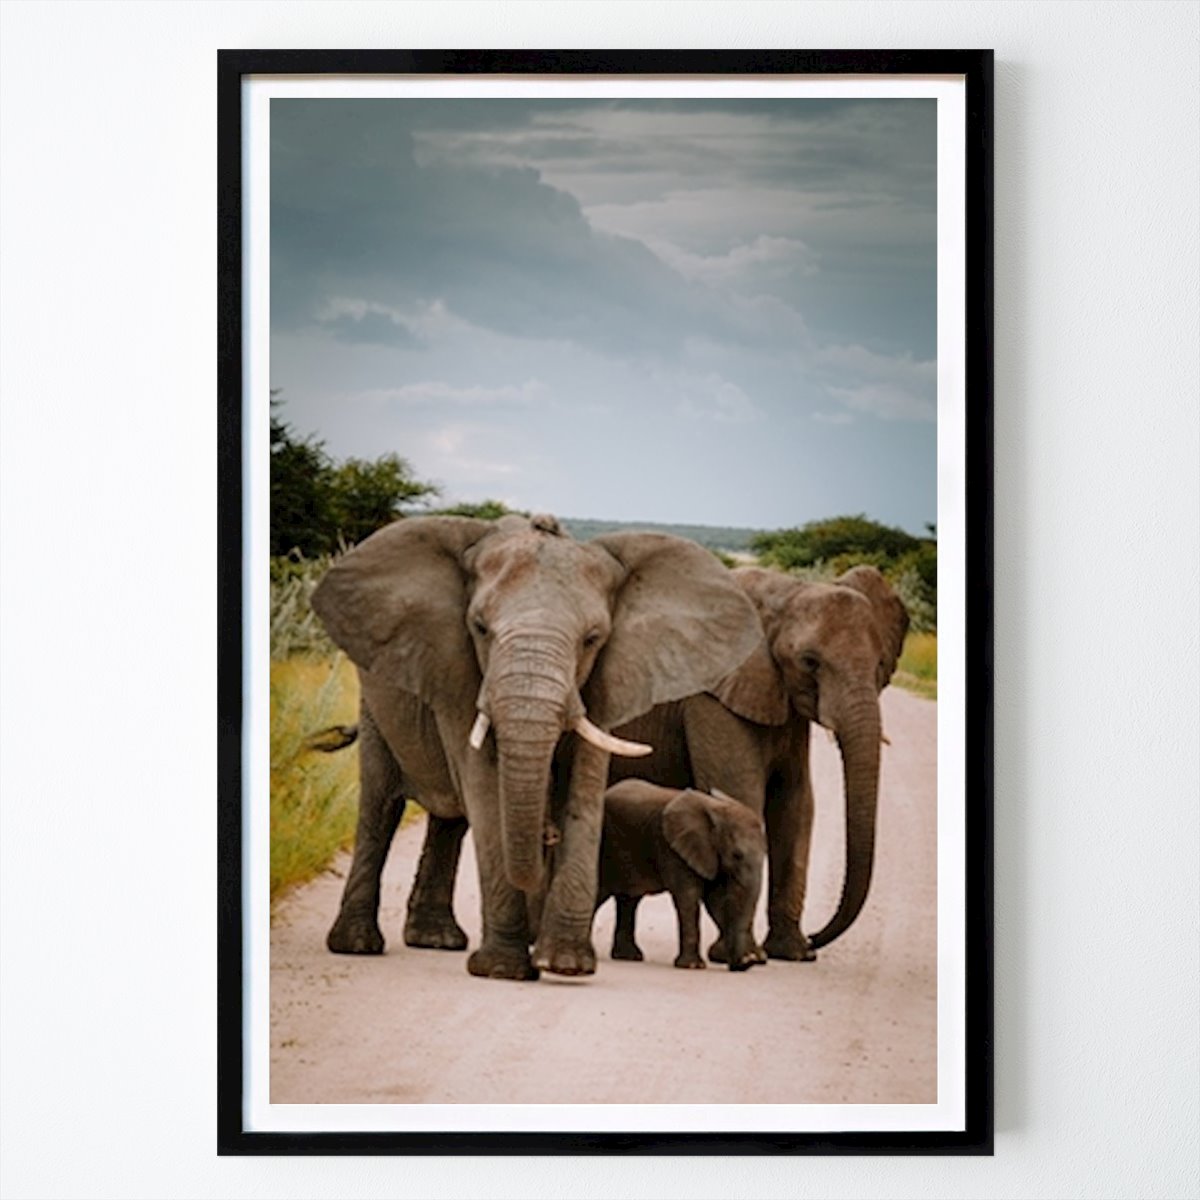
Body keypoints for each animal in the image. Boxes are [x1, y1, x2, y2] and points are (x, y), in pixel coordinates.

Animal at [597, 779, 767, 971]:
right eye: (737, 855)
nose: (748, 962)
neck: (715, 808)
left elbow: (715, 901)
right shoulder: (673, 849)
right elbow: (689, 897)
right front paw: (693, 966)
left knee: (629, 900)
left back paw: (629, 957)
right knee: (601, 893)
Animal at [609, 565, 909, 962]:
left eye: (880, 665)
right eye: (810, 662)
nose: (815, 939)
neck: (785, 593)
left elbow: (796, 805)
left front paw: (790, 953)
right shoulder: (713, 696)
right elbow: (740, 794)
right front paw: (741, 955)